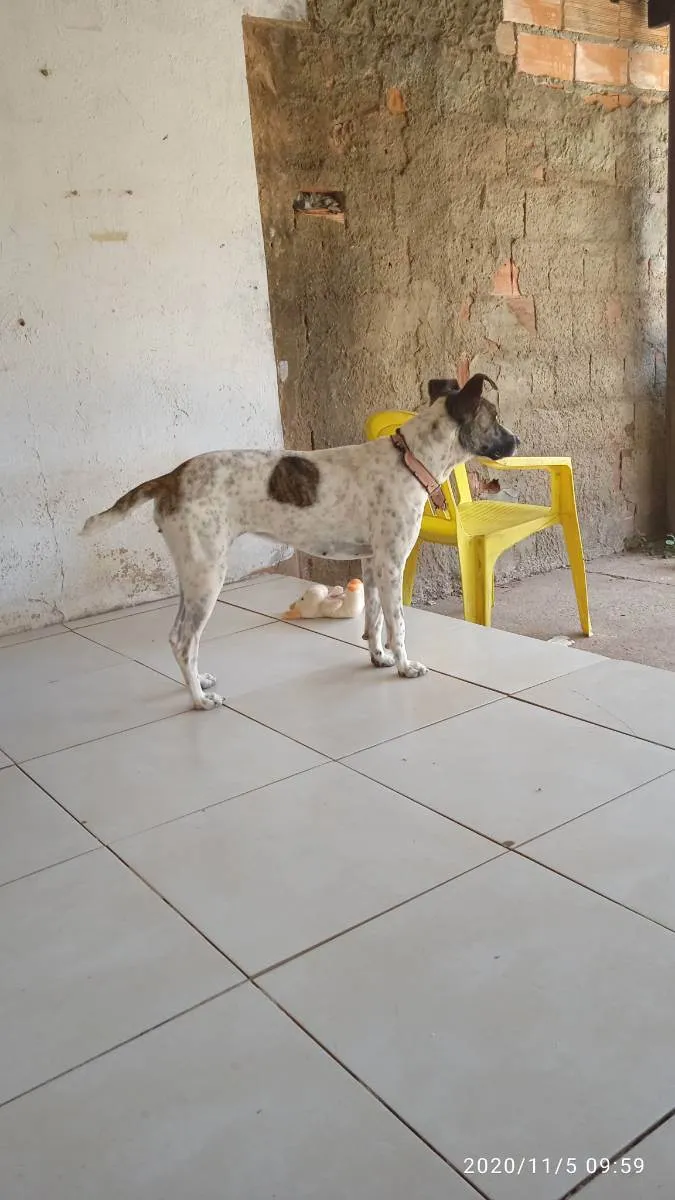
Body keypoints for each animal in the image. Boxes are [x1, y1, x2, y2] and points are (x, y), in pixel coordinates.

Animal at [82, 374, 514, 705]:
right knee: (183, 640)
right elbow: (399, 624)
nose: (518, 442)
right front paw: (406, 666)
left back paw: (198, 682)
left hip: (192, 574)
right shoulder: (391, 563)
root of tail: (171, 477)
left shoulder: (371, 562)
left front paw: (379, 658)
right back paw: (200, 701)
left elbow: (374, 619)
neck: (410, 460)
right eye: (494, 417)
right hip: (207, 575)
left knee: (179, 638)